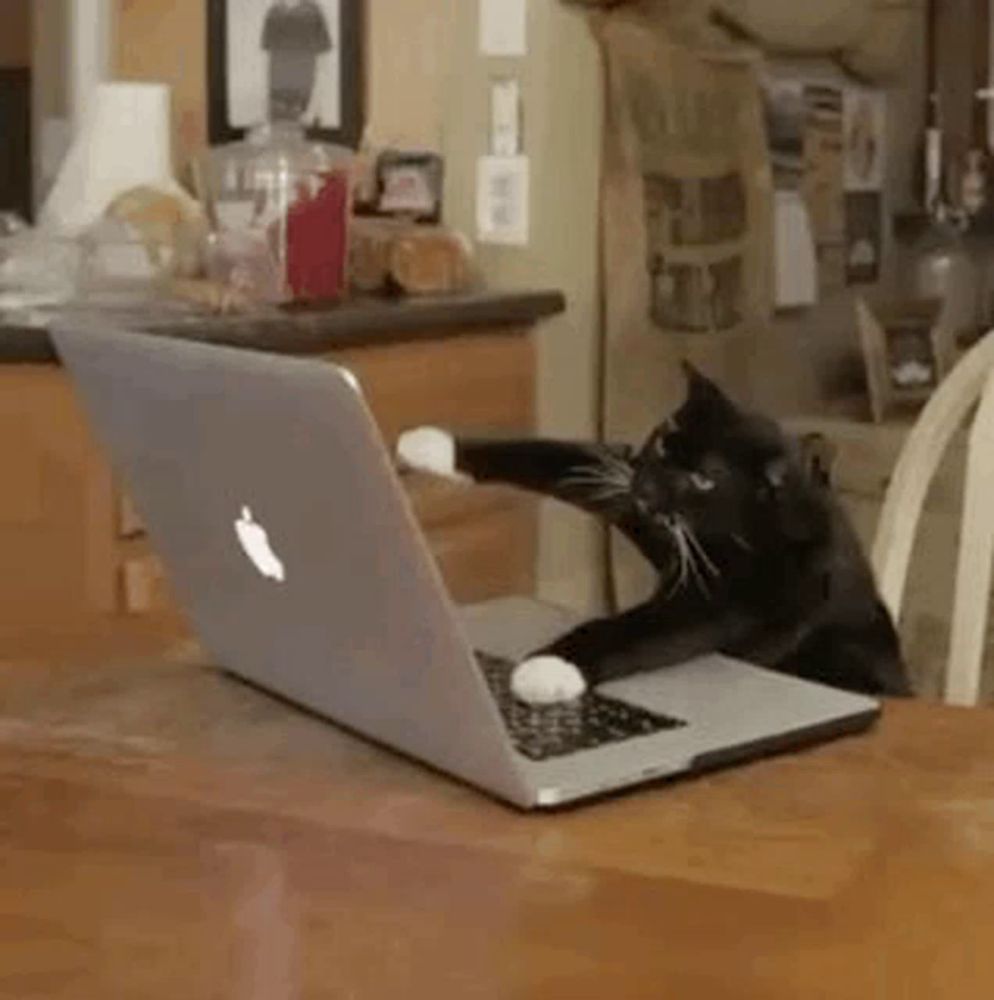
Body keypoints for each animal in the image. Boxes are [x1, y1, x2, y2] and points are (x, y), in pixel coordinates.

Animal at [400, 366, 912, 704]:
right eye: (665, 441)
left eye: (704, 480)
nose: (646, 490)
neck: (746, 529)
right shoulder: (635, 489)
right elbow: (558, 456)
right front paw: (432, 446)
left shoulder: (732, 600)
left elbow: (639, 627)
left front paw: (549, 667)